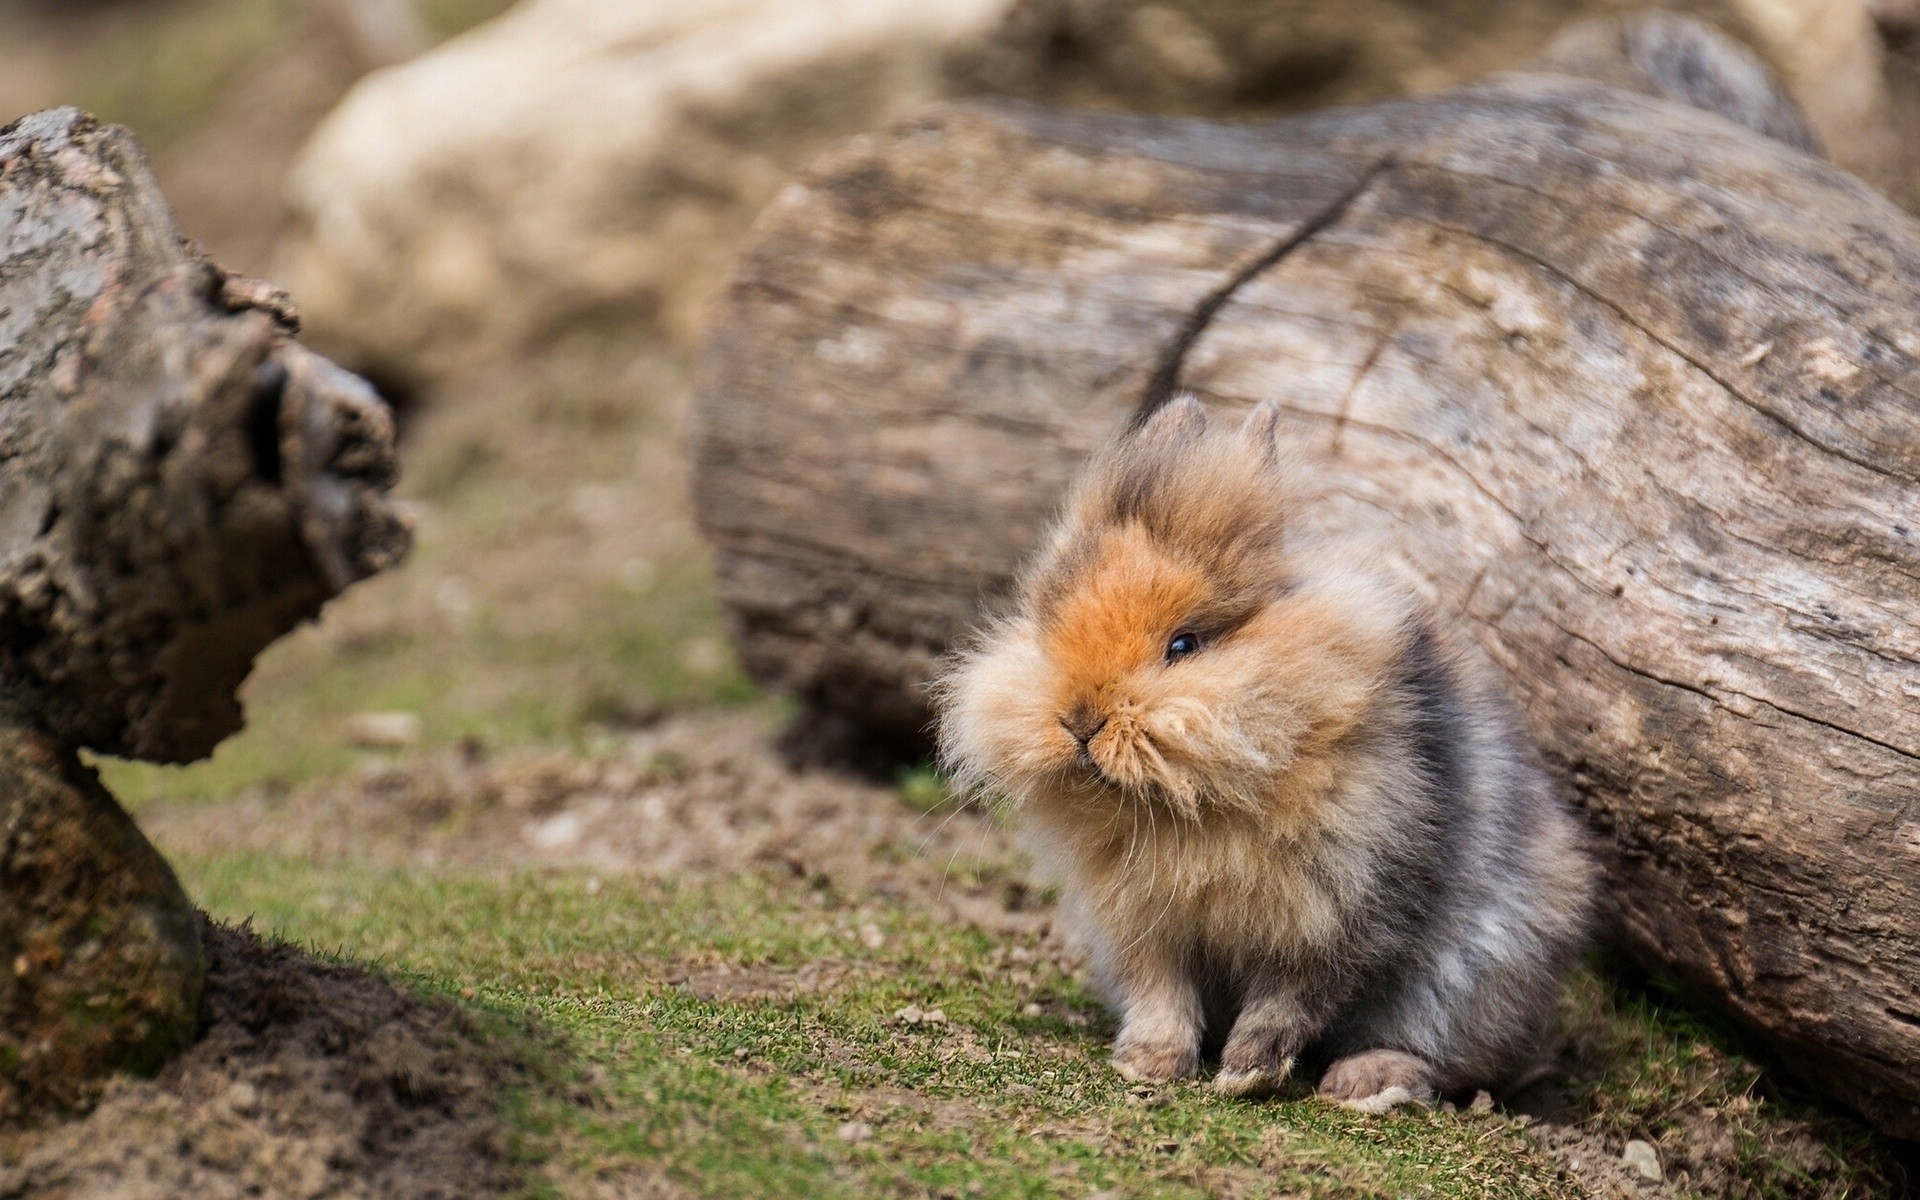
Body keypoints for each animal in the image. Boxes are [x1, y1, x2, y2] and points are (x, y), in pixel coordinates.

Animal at [935, 393, 1593, 1111]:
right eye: (1050, 624)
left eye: (1184, 645)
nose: (1080, 722)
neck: (1193, 807)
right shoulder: (1144, 925)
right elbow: (1160, 991)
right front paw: (1149, 1064)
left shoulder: (1345, 909)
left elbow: (1292, 998)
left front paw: (1245, 1074)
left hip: (1474, 974)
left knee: (1438, 1053)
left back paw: (1361, 1085)